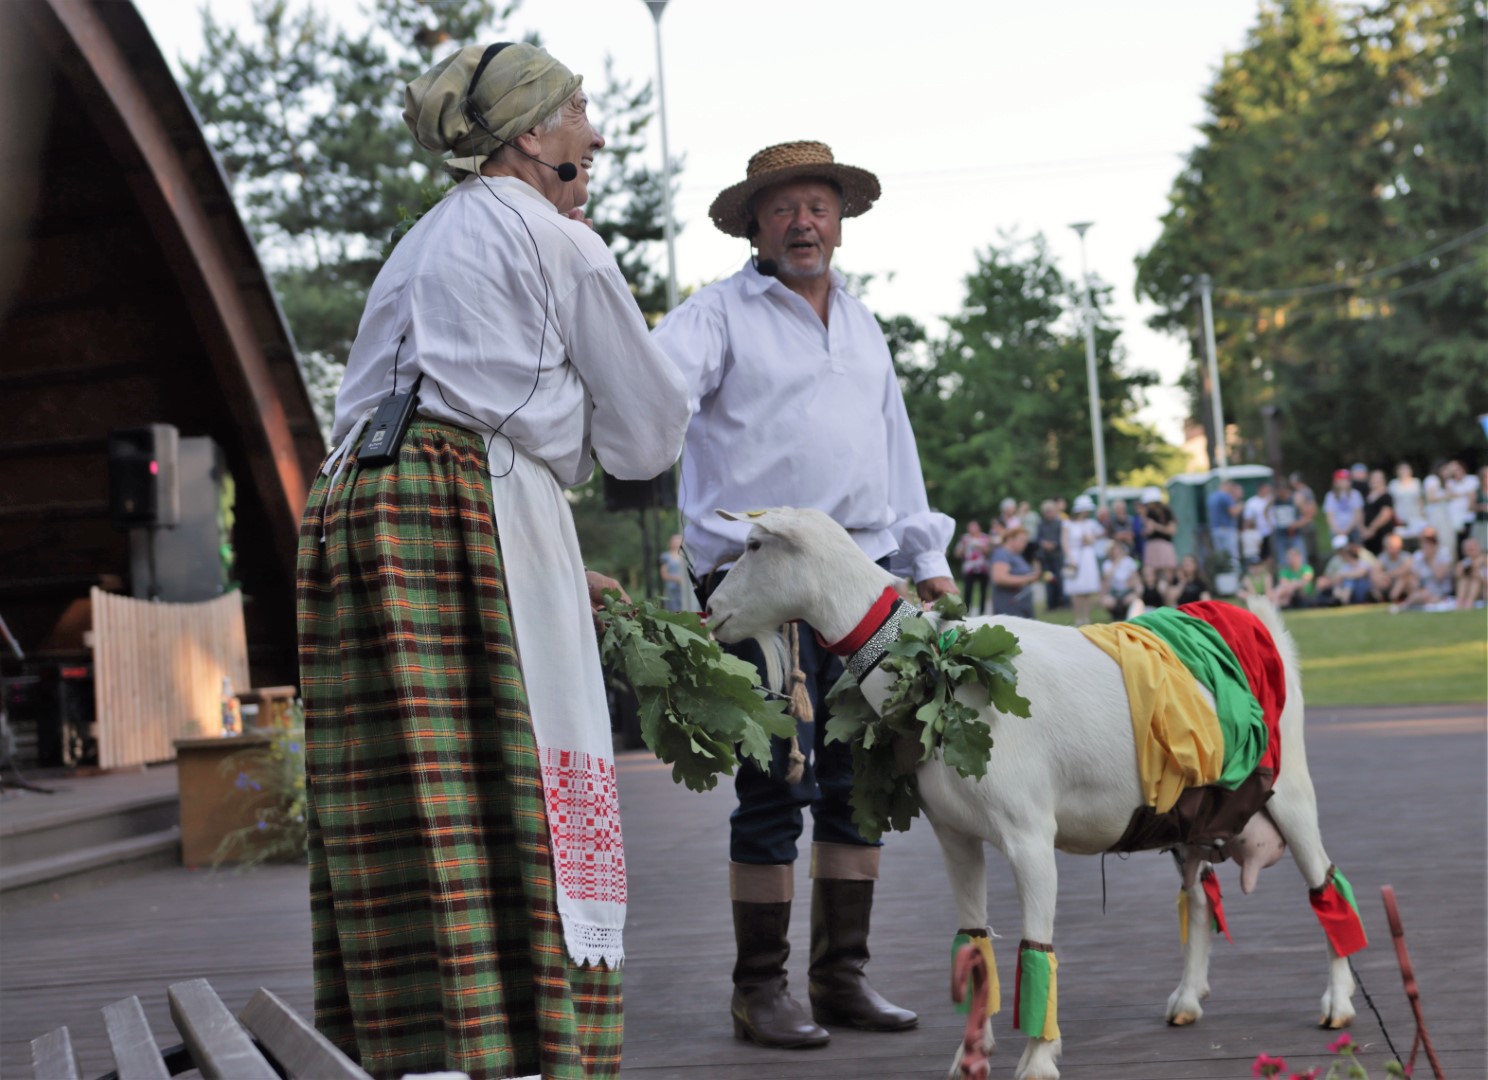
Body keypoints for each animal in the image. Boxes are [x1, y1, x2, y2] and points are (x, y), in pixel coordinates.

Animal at [708, 508, 1363, 1080]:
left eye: (755, 546)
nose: (710, 610)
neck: (935, 667)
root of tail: (1262, 625)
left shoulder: (1029, 835)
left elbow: (1035, 948)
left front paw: (1039, 1061)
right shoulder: (955, 836)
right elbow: (973, 946)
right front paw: (970, 1057)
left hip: (1288, 787)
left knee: (1325, 883)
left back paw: (1337, 1005)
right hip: (1190, 809)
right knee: (1199, 898)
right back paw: (1186, 999)